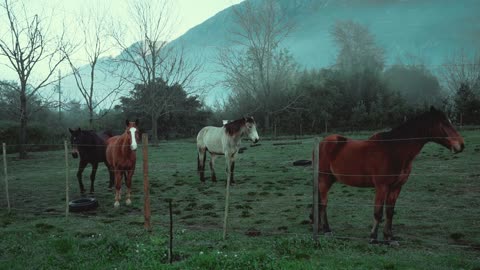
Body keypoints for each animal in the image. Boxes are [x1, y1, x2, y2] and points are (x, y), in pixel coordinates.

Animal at [314, 106, 464, 244]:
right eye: (444, 123)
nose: (461, 145)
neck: (393, 150)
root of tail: (322, 143)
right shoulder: (382, 186)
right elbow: (378, 212)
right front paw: (373, 238)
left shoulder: (396, 187)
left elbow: (390, 212)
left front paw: (389, 237)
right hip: (324, 180)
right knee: (323, 203)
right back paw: (327, 230)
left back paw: (320, 228)